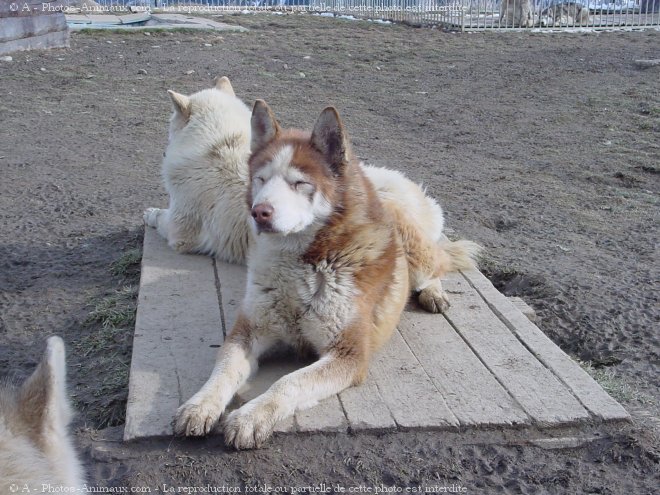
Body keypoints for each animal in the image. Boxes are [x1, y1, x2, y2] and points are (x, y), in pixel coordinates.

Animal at [170, 100, 480, 450]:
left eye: (299, 183)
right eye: (261, 179)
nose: (258, 212)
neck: (303, 263)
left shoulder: (348, 354)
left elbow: (288, 383)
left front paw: (250, 418)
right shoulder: (248, 331)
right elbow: (223, 369)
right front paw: (200, 405)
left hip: (417, 252)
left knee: (438, 264)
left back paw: (434, 293)